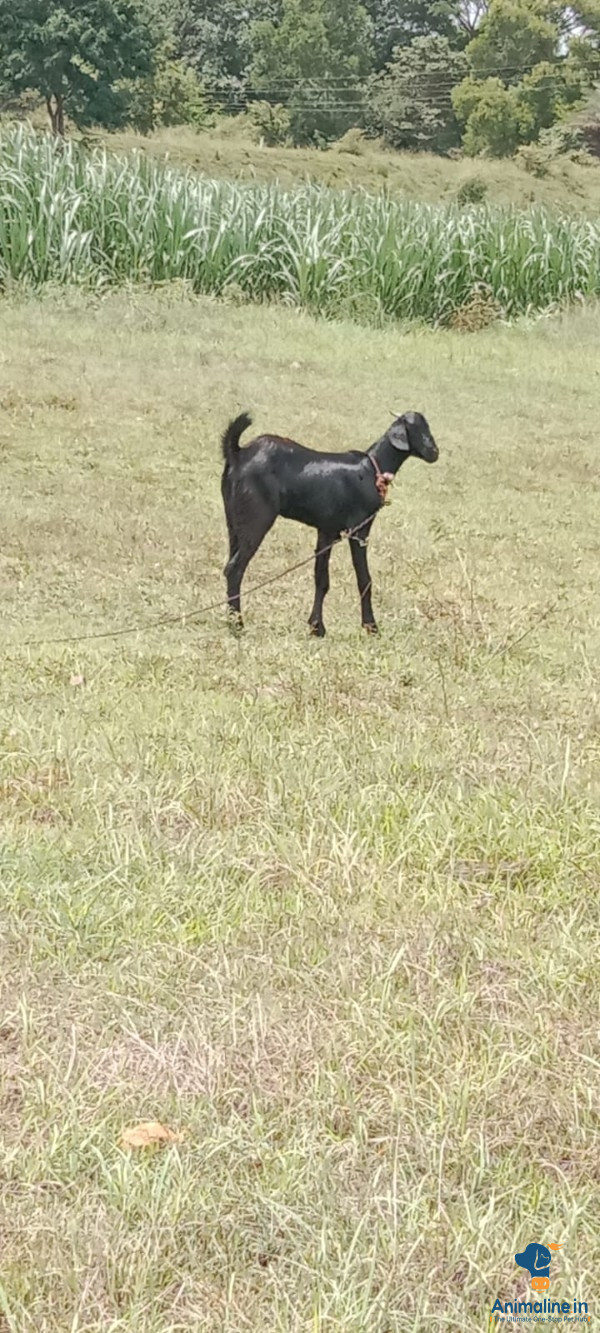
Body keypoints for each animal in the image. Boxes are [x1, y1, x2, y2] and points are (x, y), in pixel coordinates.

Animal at [220, 410, 438, 635]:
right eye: (417, 429)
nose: (434, 452)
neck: (373, 468)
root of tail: (238, 453)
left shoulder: (326, 531)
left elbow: (321, 579)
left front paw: (316, 627)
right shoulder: (359, 529)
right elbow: (364, 579)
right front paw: (371, 627)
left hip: (234, 521)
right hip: (257, 519)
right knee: (234, 569)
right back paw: (237, 625)